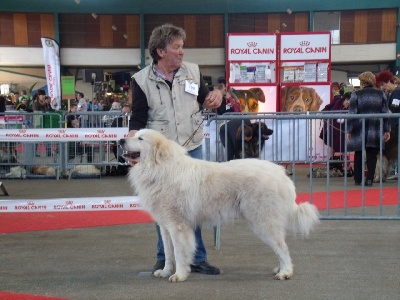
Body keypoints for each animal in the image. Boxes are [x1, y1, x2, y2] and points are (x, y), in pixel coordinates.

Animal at [120, 128, 320, 282]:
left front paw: (180, 275)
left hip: (263, 221)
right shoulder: (165, 226)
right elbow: (169, 254)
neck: (159, 168)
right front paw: (165, 271)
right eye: (135, 134)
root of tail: (281, 174)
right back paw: (281, 269)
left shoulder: (178, 226)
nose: (121, 140)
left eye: (140, 138)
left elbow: (179, 252)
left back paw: (285, 272)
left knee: (282, 247)